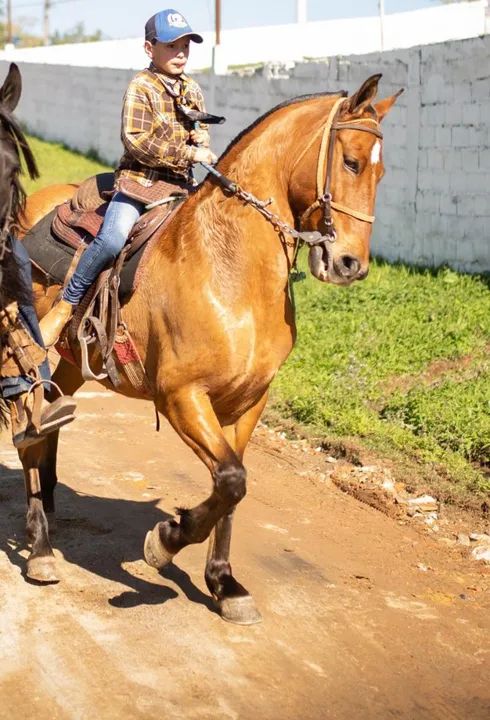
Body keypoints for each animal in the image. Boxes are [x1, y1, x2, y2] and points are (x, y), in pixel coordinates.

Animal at [18, 74, 401, 624]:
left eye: (381, 170)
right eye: (350, 161)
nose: (351, 264)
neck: (228, 265)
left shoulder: (248, 403)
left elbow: (232, 486)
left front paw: (224, 583)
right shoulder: (182, 396)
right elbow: (232, 480)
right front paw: (164, 541)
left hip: (72, 364)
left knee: (46, 423)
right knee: (27, 430)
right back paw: (41, 549)